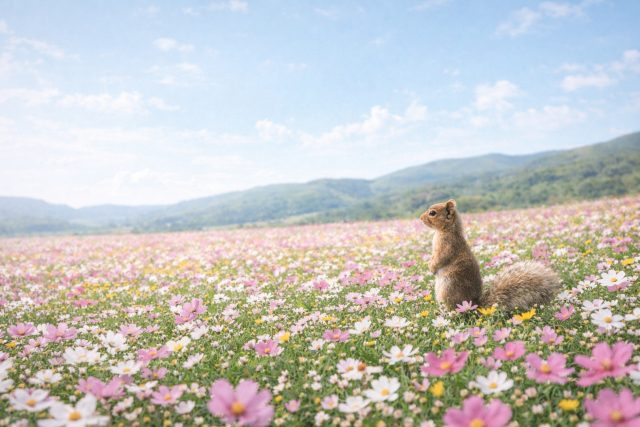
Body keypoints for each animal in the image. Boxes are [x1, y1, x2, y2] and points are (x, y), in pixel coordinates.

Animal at [419, 199, 561, 311]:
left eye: (432, 213)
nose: (420, 218)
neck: (447, 230)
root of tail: (474, 306)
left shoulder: (446, 246)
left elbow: (439, 259)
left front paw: (431, 268)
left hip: (448, 289)